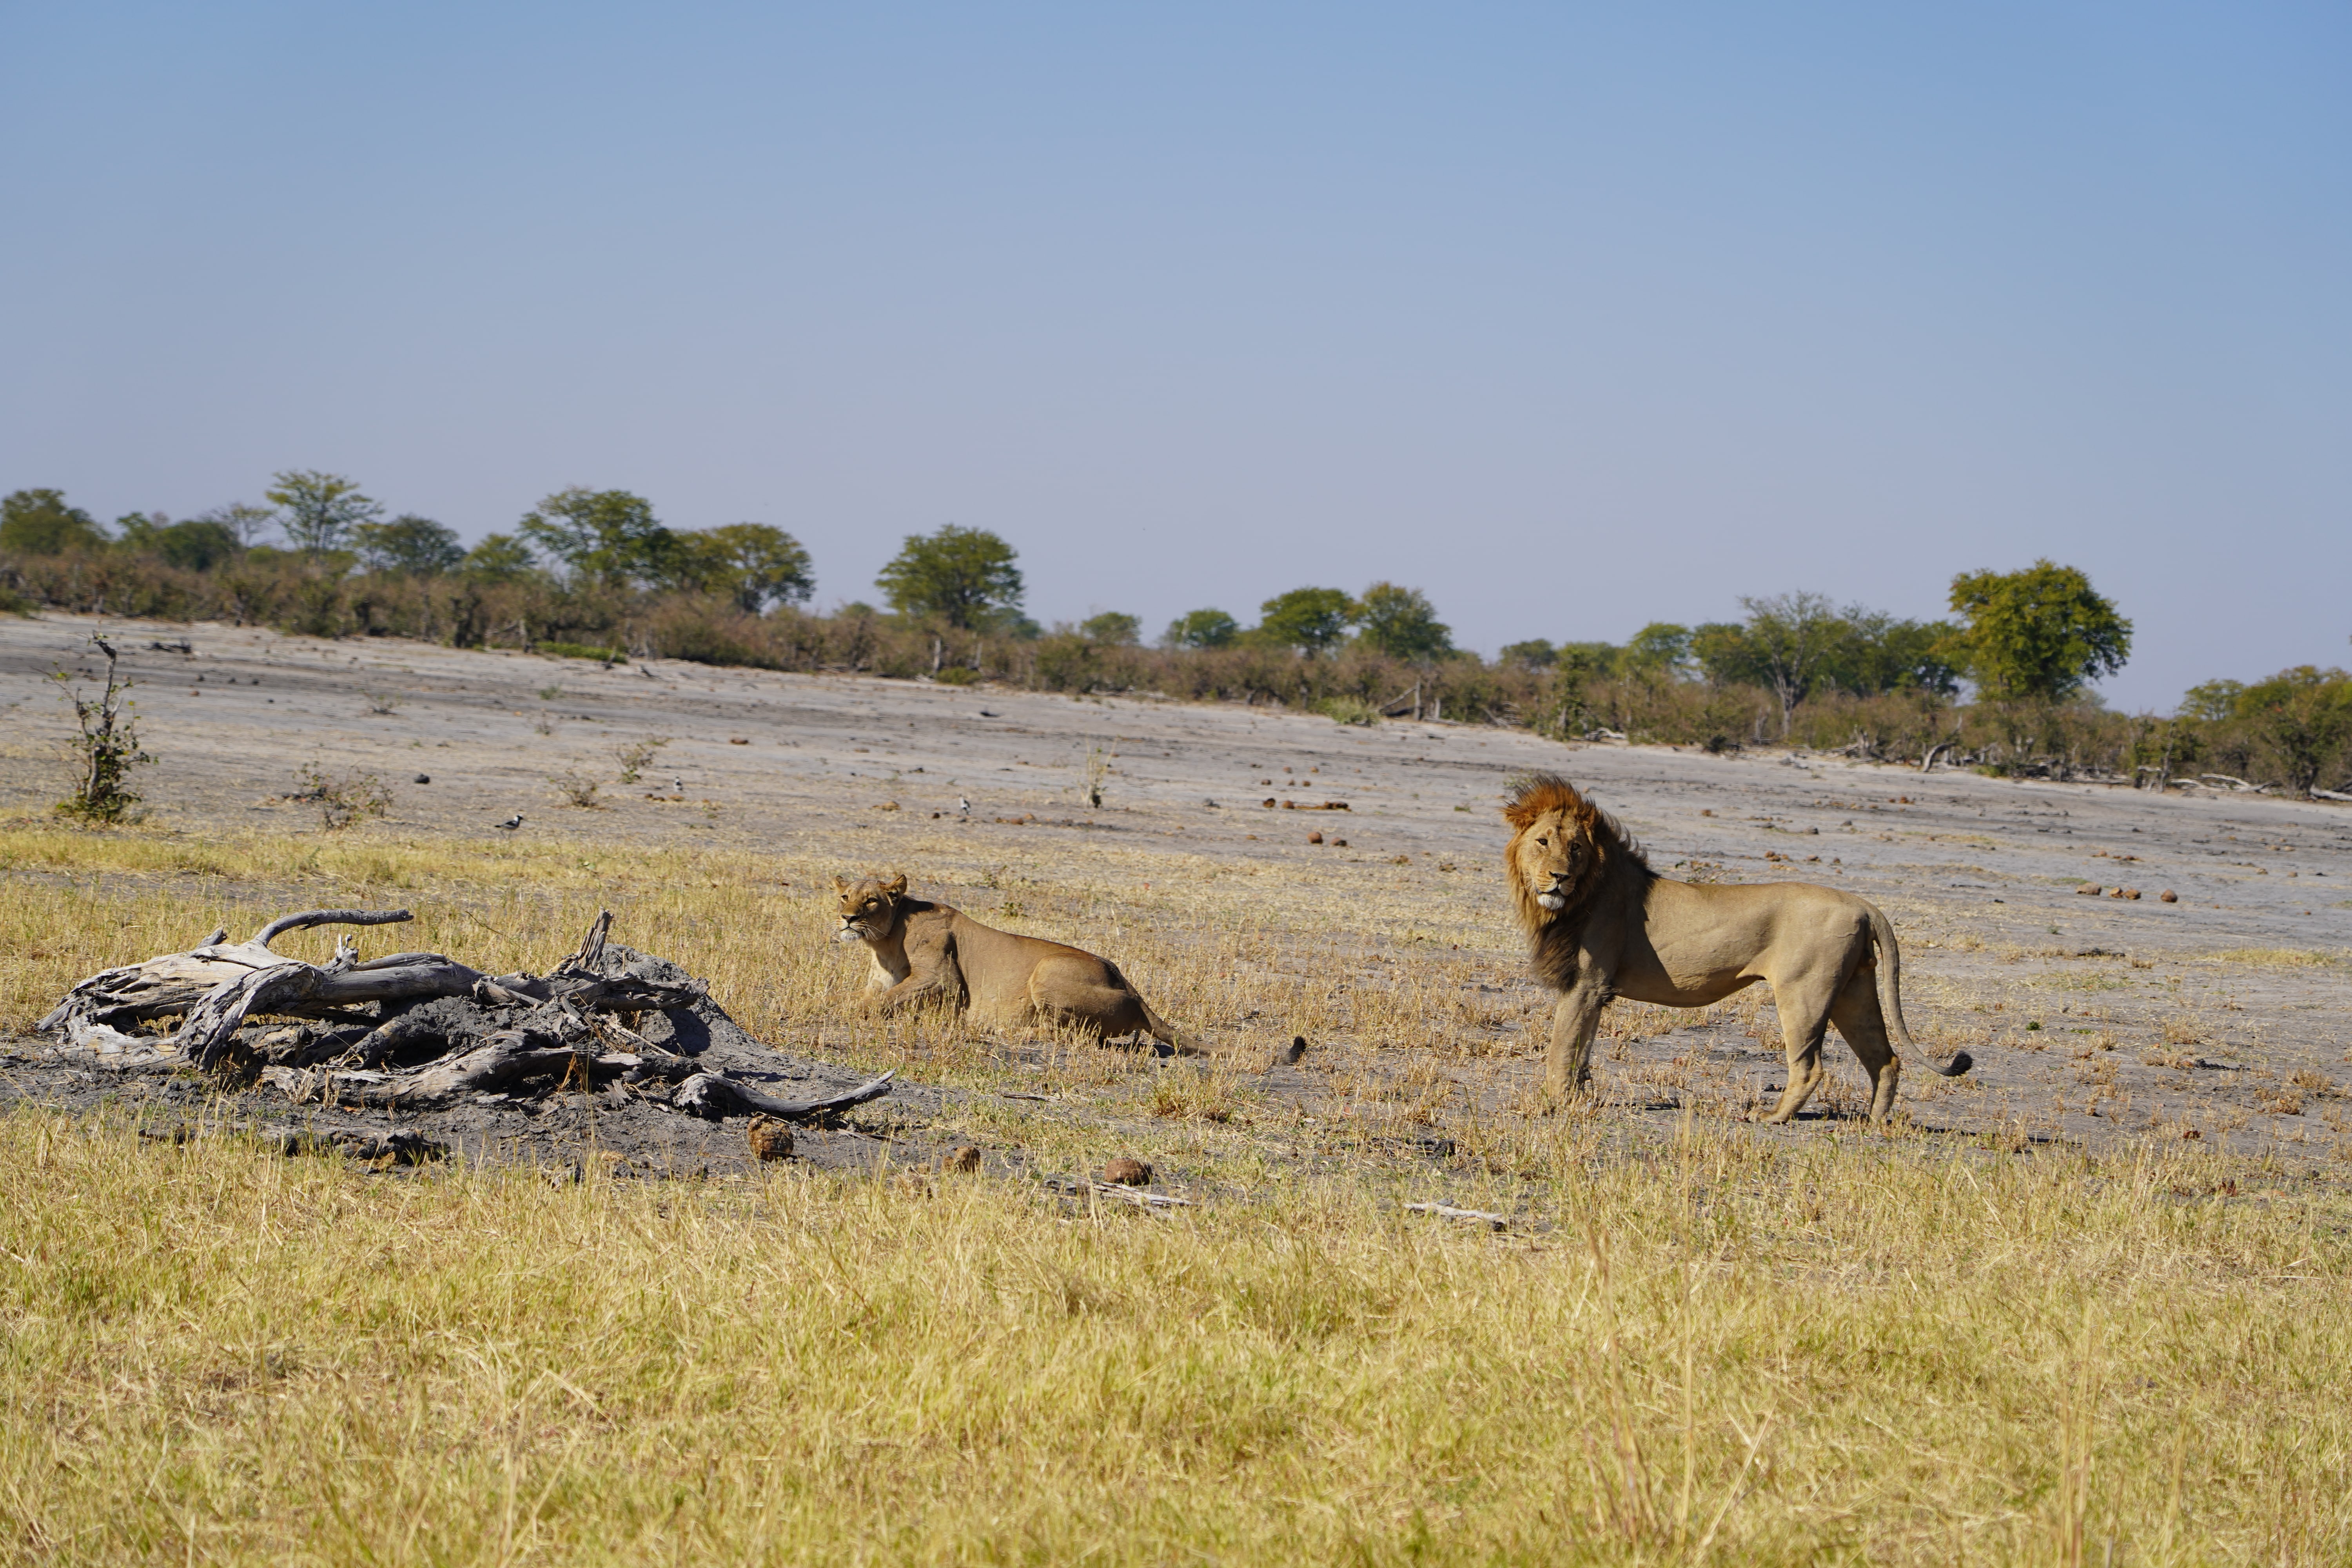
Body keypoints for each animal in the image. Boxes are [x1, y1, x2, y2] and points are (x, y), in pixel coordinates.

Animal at [831, 873, 1208, 1053]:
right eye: (845, 897)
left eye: (872, 901)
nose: (848, 919)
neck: (885, 942)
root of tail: (1128, 985)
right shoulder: (881, 980)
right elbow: (871, 997)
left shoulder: (942, 978)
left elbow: (882, 1002)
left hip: (1048, 969)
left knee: (1075, 1036)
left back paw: (1003, 1030)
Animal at [1502, 773, 1970, 1122]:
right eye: (1543, 842)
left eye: (1575, 848)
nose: (1559, 877)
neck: (1579, 897)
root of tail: (1864, 905)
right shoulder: (1597, 991)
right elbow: (1581, 1051)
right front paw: (1577, 1097)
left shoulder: (1586, 984)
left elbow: (1561, 1049)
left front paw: (1555, 1103)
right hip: (1854, 991)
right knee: (1885, 1059)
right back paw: (1873, 1123)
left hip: (1804, 993)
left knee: (1810, 1066)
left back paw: (1771, 1117)